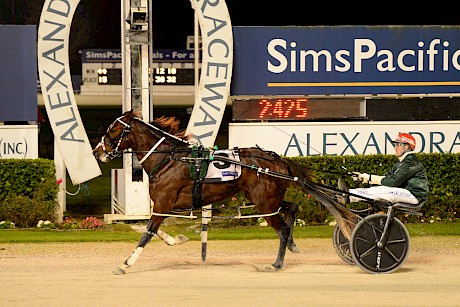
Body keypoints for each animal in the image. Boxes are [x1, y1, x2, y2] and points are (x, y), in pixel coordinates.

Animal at [91, 110, 312, 274]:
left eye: (113, 130)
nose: (96, 152)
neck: (168, 160)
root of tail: (277, 159)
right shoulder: (164, 206)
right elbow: (150, 229)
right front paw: (176, 239)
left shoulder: (163, 203)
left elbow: (148, 232)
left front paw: (125, 264)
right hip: (265, 199)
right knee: (292, 207)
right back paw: (292, 244)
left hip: (264, 203)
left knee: (282, 229)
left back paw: (277, 264)